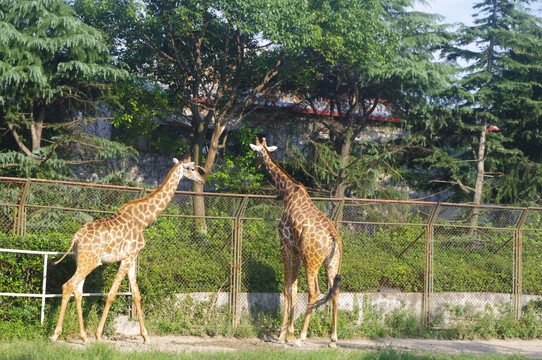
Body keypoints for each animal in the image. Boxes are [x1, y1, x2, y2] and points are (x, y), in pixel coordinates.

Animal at [49, 155, 204, 344]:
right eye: (192, 169)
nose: (202, 180)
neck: (143, 220)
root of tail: (76, 237)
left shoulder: (131, 258)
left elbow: (136, 294)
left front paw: (145, 336)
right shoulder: (127, 258)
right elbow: (112, 293)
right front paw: (98, 334)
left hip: (82, 261)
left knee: (77, 291)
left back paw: (83, 337)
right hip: (90, 262)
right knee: (68, 286)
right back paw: (56, 334)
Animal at [249, 137, 342, 346]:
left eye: (255, 152)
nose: (255, 165)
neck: (288, 193)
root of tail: (334, 239)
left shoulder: (285, 245)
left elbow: (286, 289)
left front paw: (283, 335)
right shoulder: (297, 250)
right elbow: (294, 288)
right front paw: (289, 333)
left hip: (312, 260)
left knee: (315, 292)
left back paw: (302, 337)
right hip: (331, 263)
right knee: (334, 292)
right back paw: (332, 339)